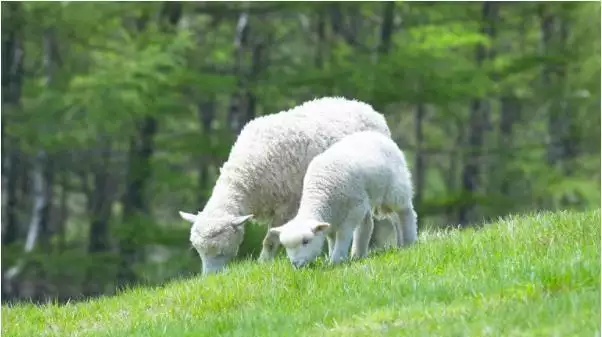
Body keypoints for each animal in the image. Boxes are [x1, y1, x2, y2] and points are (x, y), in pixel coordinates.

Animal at [176, 96, 392, 274]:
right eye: (198, 251)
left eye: (221, 252)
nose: (210, 278)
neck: (244, 175)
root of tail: (366, 107)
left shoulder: (285, 207)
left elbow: (270, 240)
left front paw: (263, 263)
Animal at [268, 129, 418, 268]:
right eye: (286, 246)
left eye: (306, 241)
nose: (296, 264)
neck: (320, 192)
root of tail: (377, 134)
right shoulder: (335, 217)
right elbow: (332, 238)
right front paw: (334, 256)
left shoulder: (354, 210)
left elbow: (343, 235)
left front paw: (336, 261)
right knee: (388, 220)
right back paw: (395, 245)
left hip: (395, 189)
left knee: (406, 212)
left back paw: (410, 241)